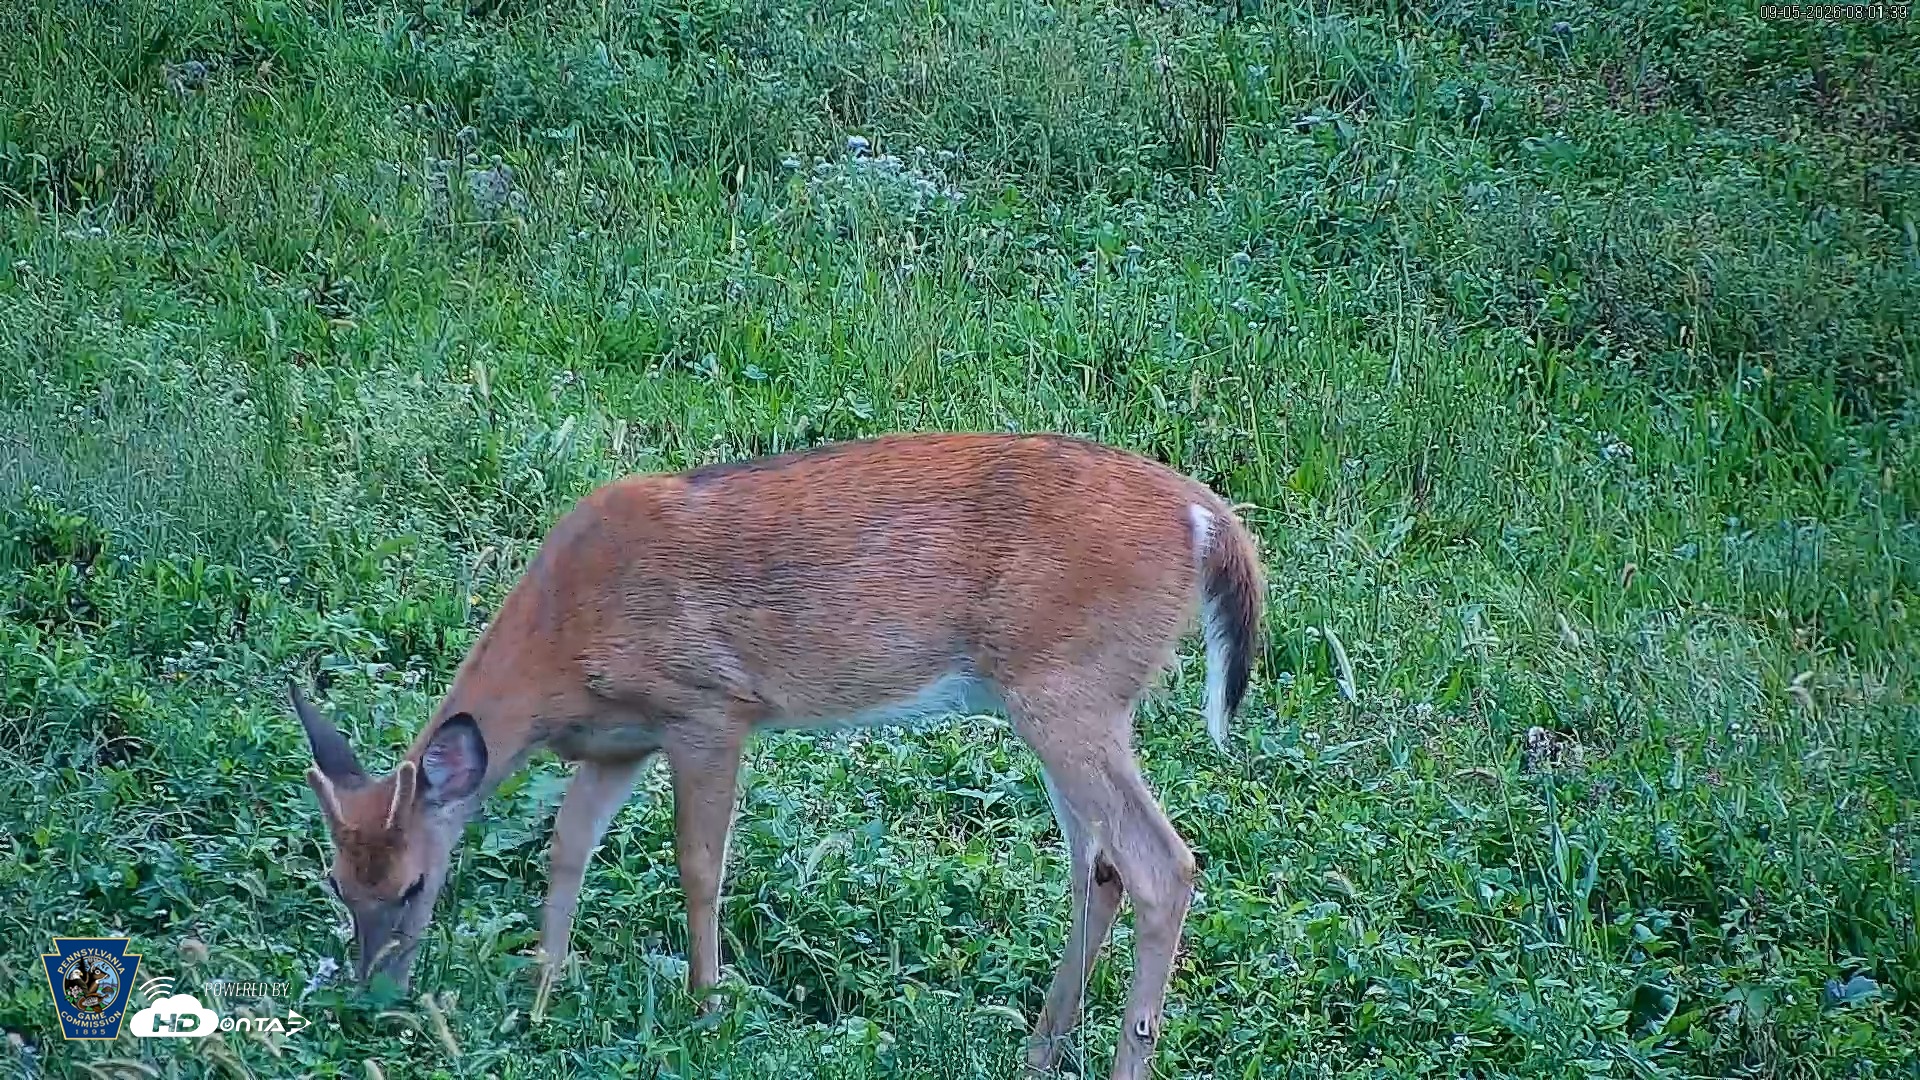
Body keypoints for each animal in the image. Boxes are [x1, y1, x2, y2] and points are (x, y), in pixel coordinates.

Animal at [292, 431, 1263, 1080]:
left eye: (414, 884)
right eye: (337, 882)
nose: (368, 998)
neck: (564, 640)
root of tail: (1209, 521)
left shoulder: (709, 708)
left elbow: (699, 864)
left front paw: (708, 1008)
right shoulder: (620, 743)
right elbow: (567, 847)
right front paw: (540, 994)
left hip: (1068, 690)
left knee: (1161, 863)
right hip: (1074, 701)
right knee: (1098, 866)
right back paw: (1038, 1048)